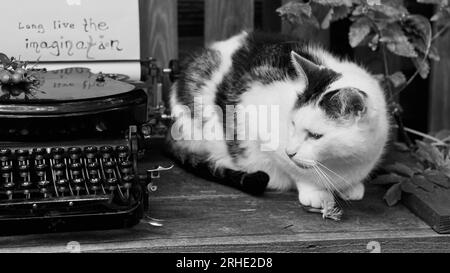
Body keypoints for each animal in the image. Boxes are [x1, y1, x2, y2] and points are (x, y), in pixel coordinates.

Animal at [167, 31, 388, 219]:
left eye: (316, 136)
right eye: (292, 123)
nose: (290, 151)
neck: (341, 163)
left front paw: (352, 187)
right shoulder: (254, 114)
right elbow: (296, 171)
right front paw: (316, 192)